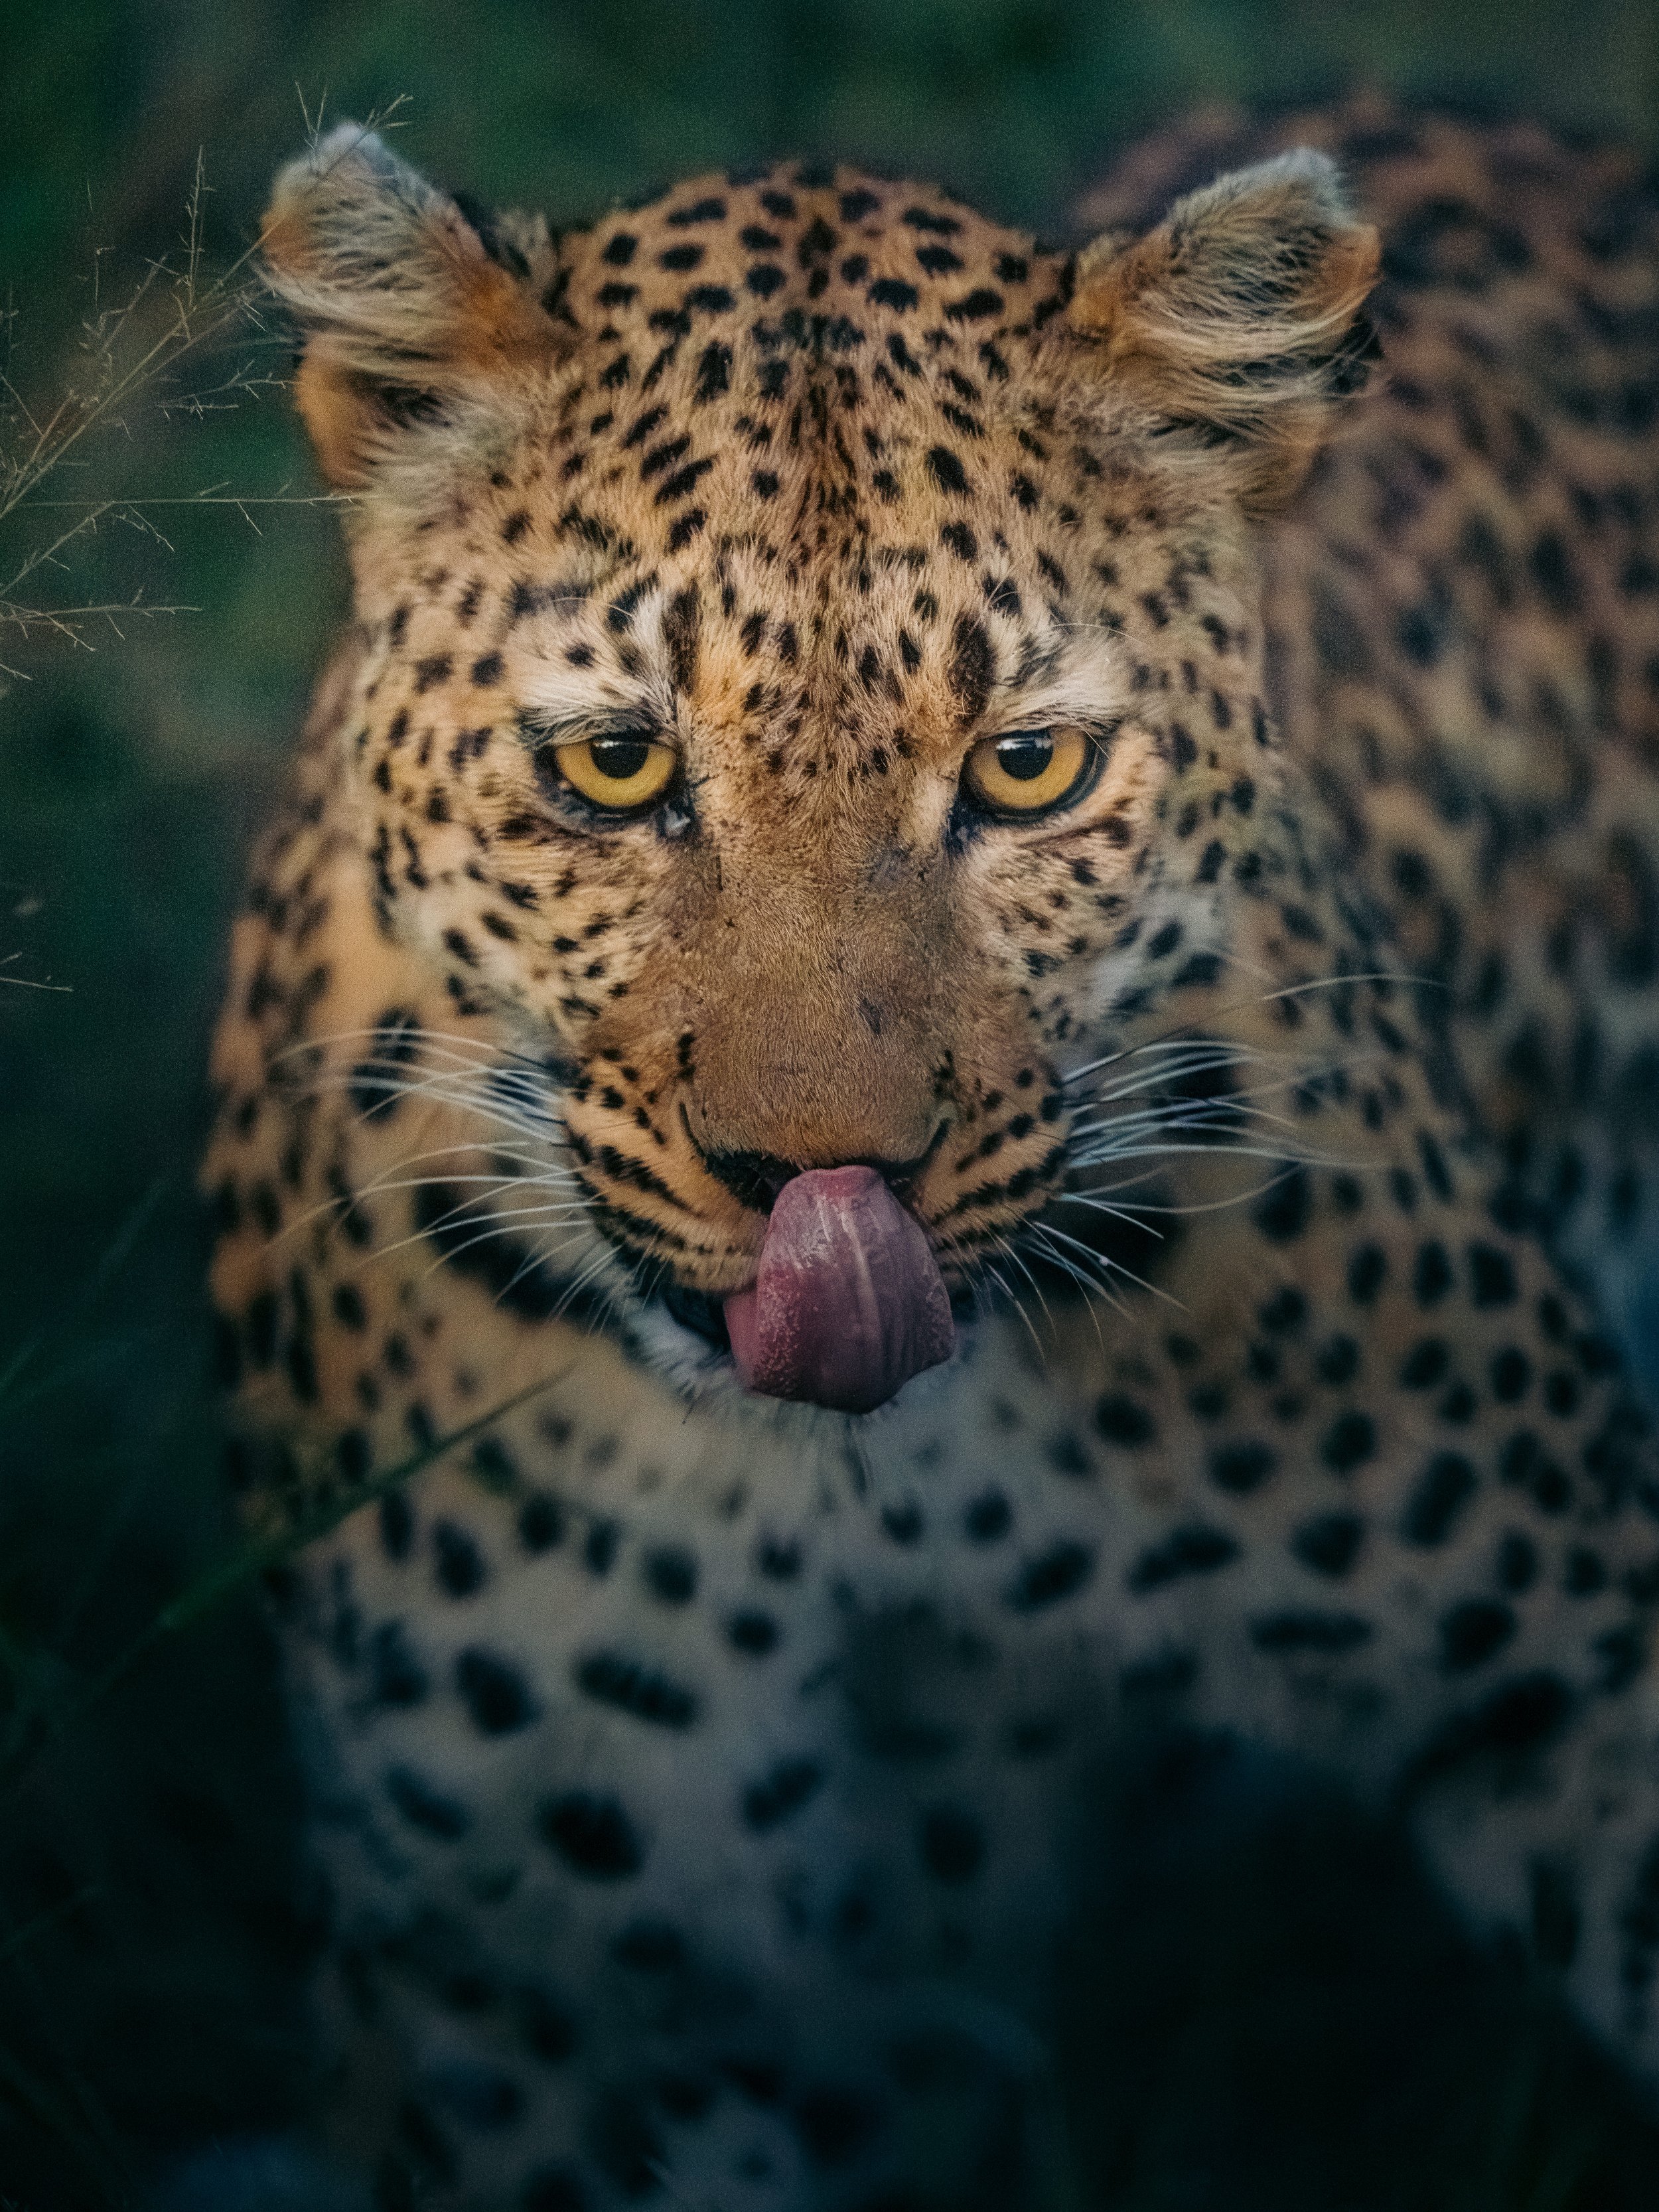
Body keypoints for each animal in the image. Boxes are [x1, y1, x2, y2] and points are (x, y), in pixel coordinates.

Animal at [203, 94, 1659, 2212]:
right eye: (618, 766)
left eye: (1027, 770)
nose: (828, 1187)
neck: (869, 1487)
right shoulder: (543, 1992)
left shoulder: (1573, 1667)